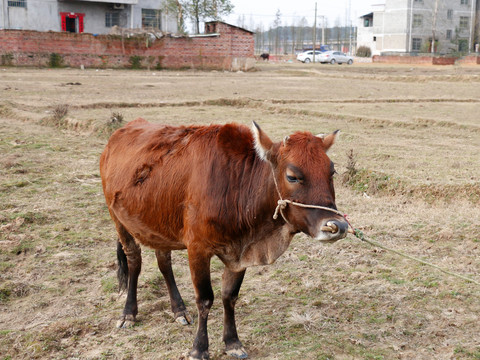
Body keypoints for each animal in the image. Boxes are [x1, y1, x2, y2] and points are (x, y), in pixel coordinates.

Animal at [100, 120, 348, 360]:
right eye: (292, 177)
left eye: (332, 172)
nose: (338, 226)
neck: (237, 187)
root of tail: (117, 135)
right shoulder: (198, 250)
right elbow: (205, 299)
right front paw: (199, 349)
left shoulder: (240, 254)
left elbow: (229, 296)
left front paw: (232, 342)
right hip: (118, 220)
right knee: (134, 261)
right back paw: (128, 314)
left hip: (158, 225)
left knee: (164, 262)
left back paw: (179, 310)